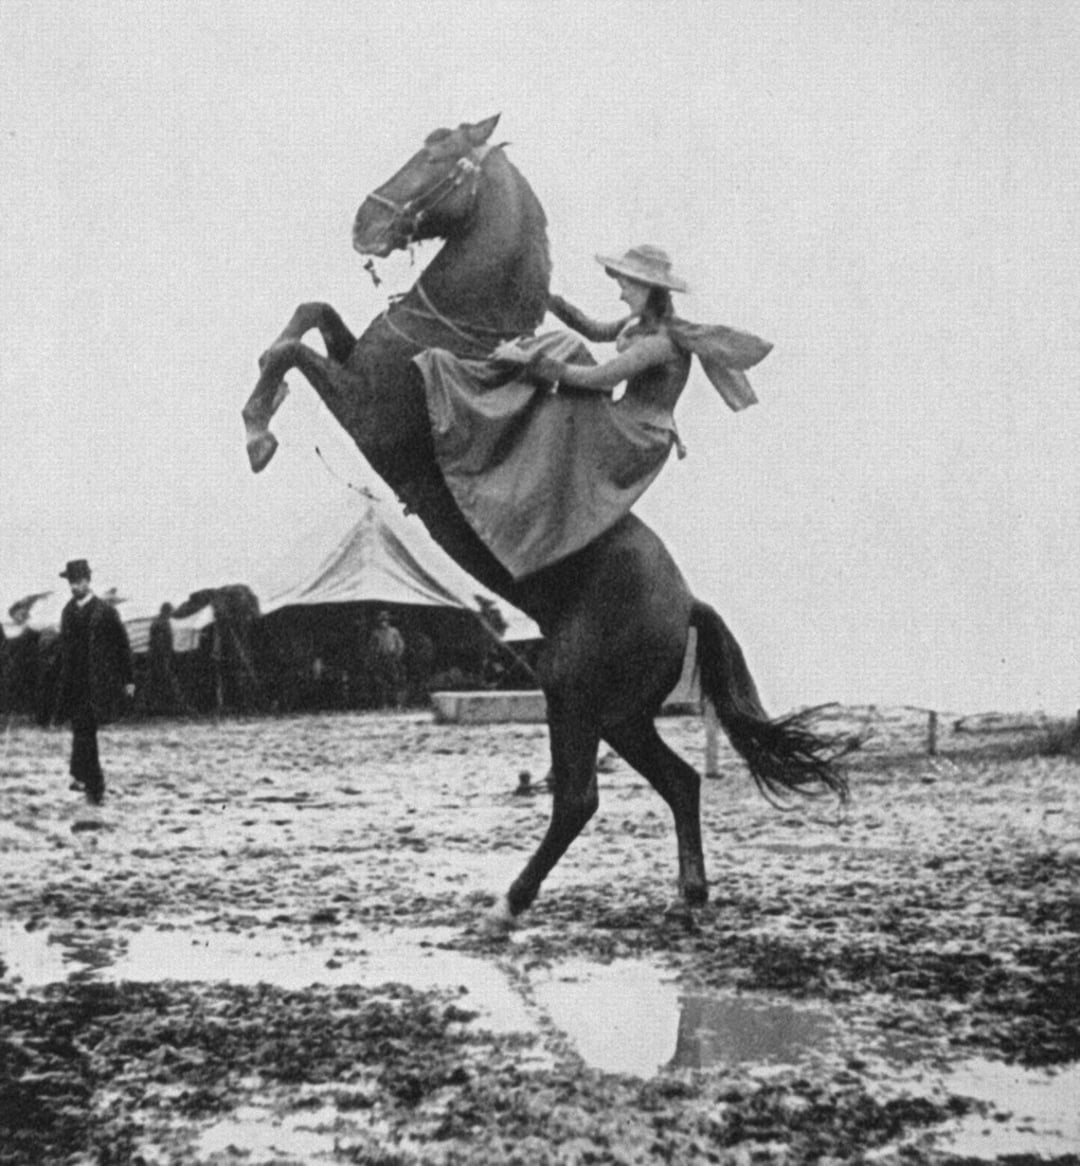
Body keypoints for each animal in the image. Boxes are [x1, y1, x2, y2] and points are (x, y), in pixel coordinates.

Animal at [242, 114, 849, 927]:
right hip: (622, 715)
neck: (453, 336)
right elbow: (313, 314)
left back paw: (508, 905)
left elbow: (291, 348)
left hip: (574, 695)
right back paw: (688, 895)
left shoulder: (362, 407)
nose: (363, 224)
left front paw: (258, 432)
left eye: (438, 156)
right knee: (679, 780)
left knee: (579, 799)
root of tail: (688, 603)